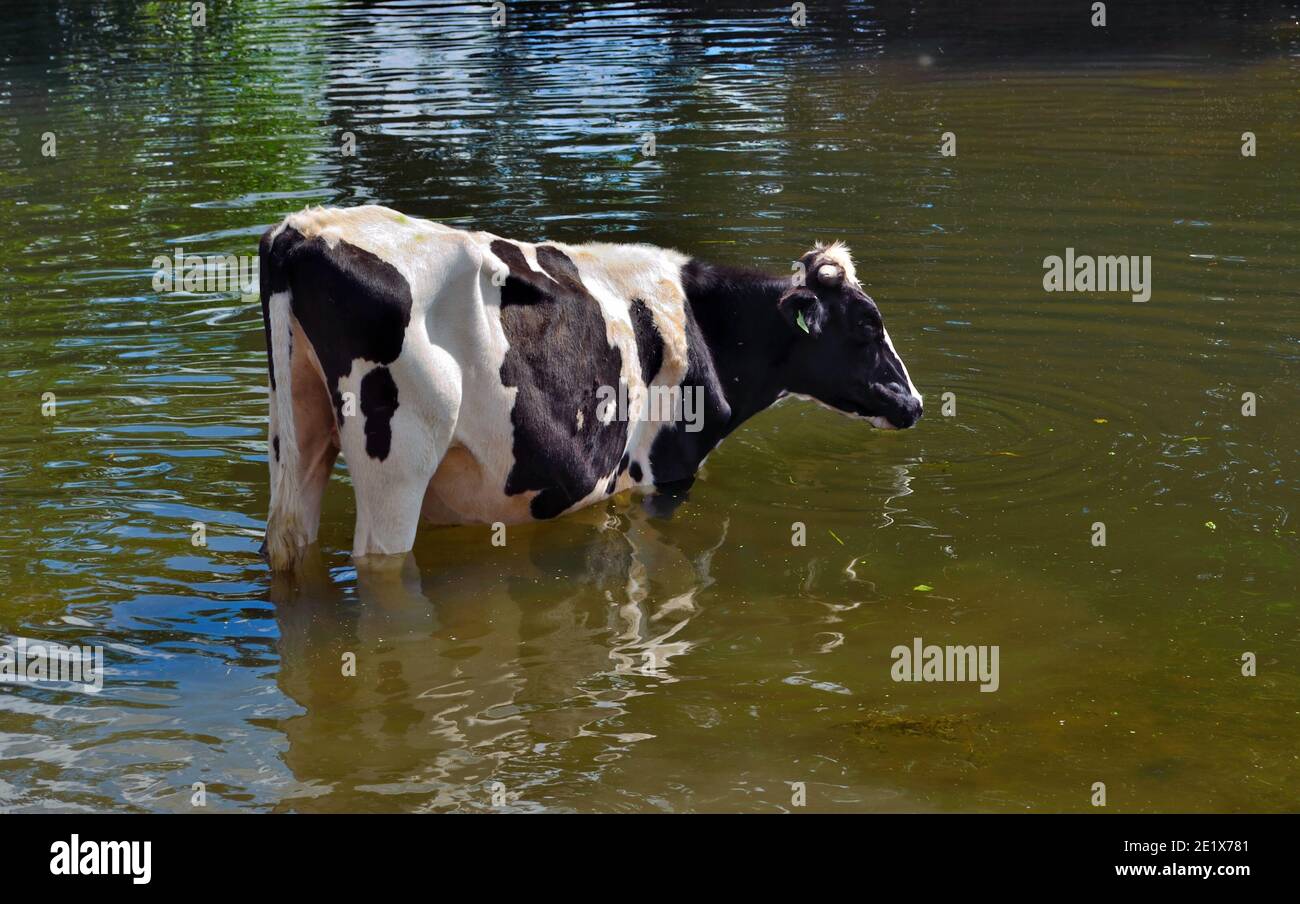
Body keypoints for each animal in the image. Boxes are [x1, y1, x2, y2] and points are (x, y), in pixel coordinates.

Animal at [256, 208, 925, 569]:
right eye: (868, 325)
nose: (914, 402)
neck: (703, 326)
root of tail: (303, 230)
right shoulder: (665, 471)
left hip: (296, 436)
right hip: (398, 462)